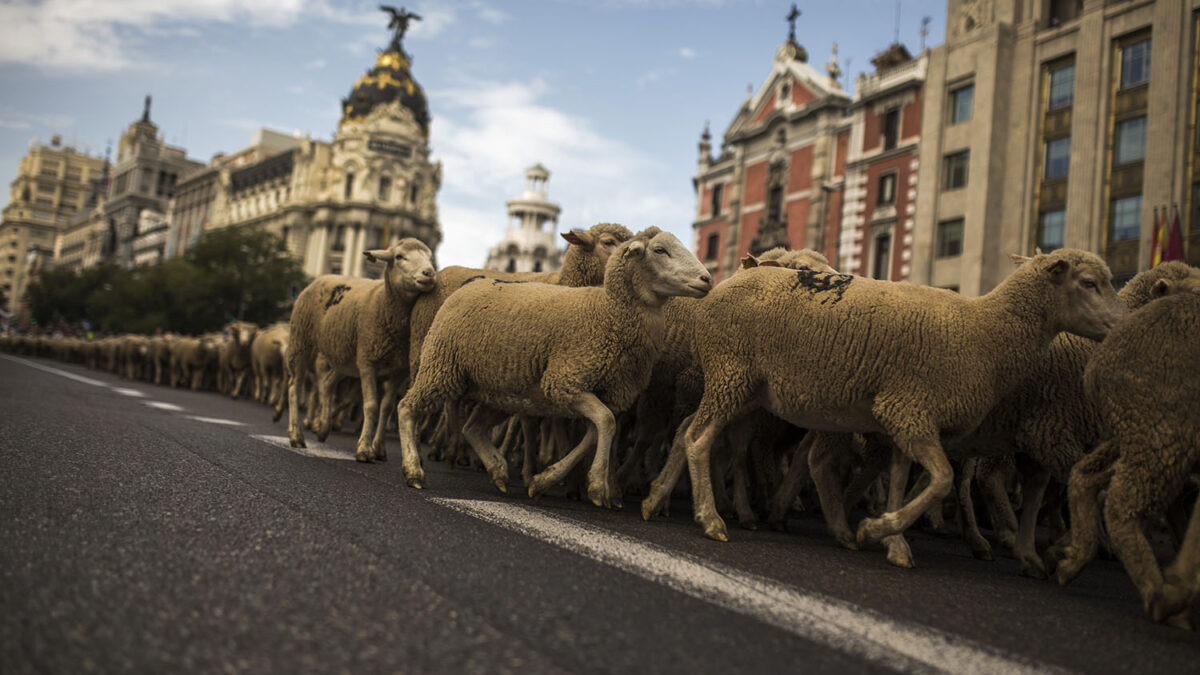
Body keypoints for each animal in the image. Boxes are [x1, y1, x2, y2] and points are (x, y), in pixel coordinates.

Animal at [285, 236, 436, 461]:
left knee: (327, 384)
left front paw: (379, 449)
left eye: (429, 257)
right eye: (399, 257)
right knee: (295, 387)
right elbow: (371, 406)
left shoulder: (398, 370)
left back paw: (323, 429)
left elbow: (387, 408)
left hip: (344, 359)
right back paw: (296, 436)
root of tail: (321, 278)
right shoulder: (367, 362)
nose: (430, 273)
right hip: (301, 341)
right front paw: (364, 449)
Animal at [393, 228, 710, 497]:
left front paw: (545, 479)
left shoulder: (603, 393)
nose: (707, 279)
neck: (611, 312)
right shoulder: (564, 382)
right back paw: (415, 469)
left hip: (498, 392)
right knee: (407, 407)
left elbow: (595, 432)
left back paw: (497, 471)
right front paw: (596, 485)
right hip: (440, 367)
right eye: (660, 250)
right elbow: (605, 423)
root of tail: (472, 283)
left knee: (473, 428)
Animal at [652, 246, 1118, 547]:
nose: (1121, 325)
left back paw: (657, 499)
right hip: (731, 374)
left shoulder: (902, 416)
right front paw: (877, 529)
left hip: (745, 388)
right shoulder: (909, 409)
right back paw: (712, 518)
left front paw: (893, 542)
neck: (986, 330)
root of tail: (731, 281)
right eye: (1089, 283)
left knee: (691, 432)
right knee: (699, 440)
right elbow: (942, 479)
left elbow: (903, 477)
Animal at [1056, 288, 1200, 624]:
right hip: (1161, 433)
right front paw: (1175, 593)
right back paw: (1159, 596)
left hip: (1136, 432)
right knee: (1120, 503)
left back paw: (1075, 558)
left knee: (1084, 476)